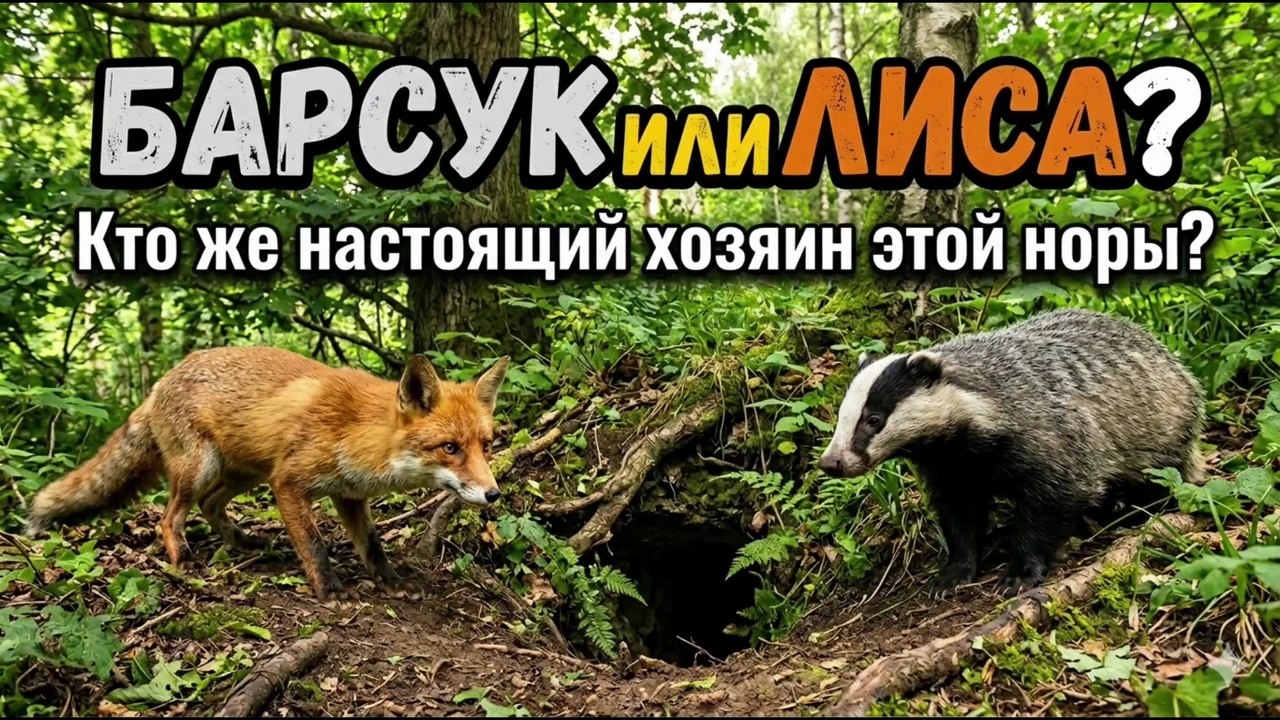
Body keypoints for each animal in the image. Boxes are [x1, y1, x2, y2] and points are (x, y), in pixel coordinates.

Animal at [24, 346, 510, 599]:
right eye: (450, 448)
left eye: (486, 446)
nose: (493, 494)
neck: (359, 431)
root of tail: (162, 379)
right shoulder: (288, 482)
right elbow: (313, 543)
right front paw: (328, 589)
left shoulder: (349, 494)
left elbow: (371, 544)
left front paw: (389, 580)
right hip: (202, 468)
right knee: (171, 516)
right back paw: (183, 560)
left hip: (243, 476)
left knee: (210, 506)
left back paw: (244, 543)